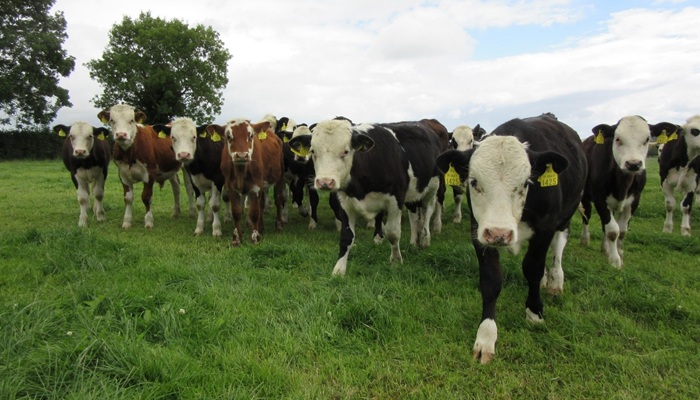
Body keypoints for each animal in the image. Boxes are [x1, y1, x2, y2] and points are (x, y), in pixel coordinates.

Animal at [288, 118, 446, 276]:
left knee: (427, 210)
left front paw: (396, 261)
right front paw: (339, 269)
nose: (325, 182)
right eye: (313, 151)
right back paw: (414, 241)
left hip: (433, 186)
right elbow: (346, 237)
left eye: (346, 151)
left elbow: (393, 233)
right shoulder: (345, 203)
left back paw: (425, 238)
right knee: (414, 216)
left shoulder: (396, 200)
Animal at [436, 113, 587, 364]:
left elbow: (532, 268)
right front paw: (486, 336)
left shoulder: (545, 228)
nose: (500, 233)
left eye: (526, 183)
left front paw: (534, 311)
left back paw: (555, 281)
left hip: (565, 217)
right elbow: (491, 280)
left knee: (558, 247)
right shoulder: (479, 231)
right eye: (474, 182)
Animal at [580, 115, 672, 268]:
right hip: (585, 197)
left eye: (647, 139)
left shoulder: (634, 201)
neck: (623, 182)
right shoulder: (600, 200)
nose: (633, 164)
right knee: (586, 216)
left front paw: (619, 254)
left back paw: (605, 248)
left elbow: (621, 231)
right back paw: (585, 240)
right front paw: (615, 260)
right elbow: (612, 230)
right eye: (617, 139)